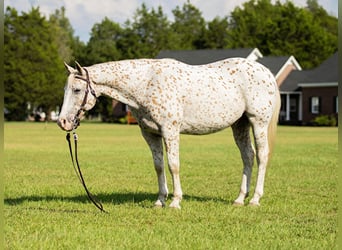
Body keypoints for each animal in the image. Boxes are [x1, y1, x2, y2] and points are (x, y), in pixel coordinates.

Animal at [58, 57, 280, 208]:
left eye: (77, 90)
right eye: (65, 90)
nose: (63, 122)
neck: (146, 83)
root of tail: (266, 72)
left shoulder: (170, 131)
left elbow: (173, 165)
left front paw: (175, 201)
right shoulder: (150, 134)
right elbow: (158, 166)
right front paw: (160, 201)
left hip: (258, 122)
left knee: (262, 156)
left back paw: (255, 199)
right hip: (239, 125)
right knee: (248, 157)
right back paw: (240, 199)